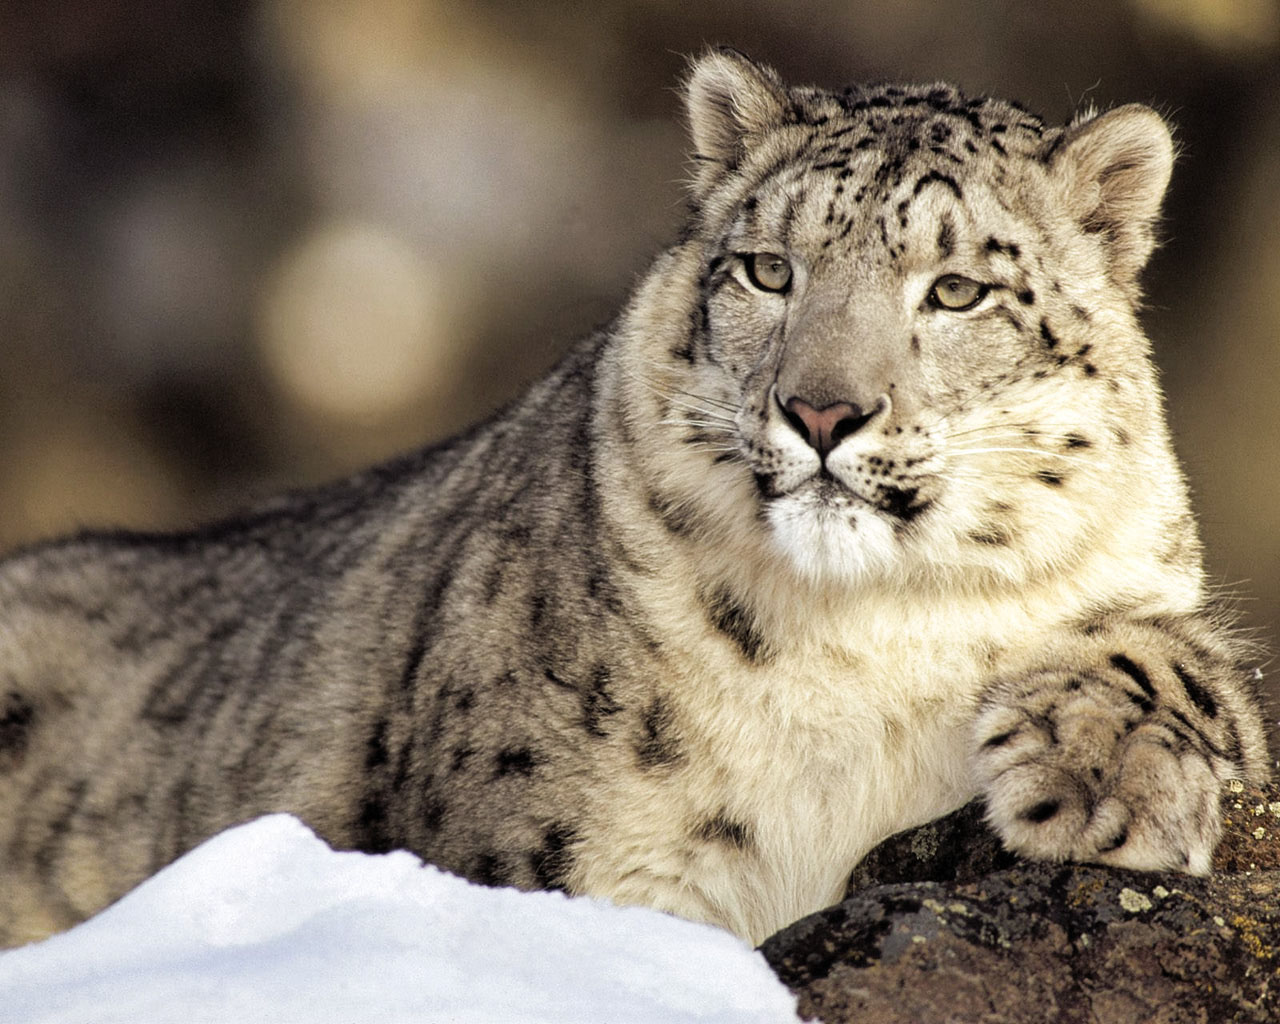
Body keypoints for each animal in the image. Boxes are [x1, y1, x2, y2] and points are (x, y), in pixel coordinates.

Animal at [0, 49, 1268, 948]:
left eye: (956, 290)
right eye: (767, 269)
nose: (820, 412)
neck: (869, 635)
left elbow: (1180, 658)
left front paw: (1096, 781)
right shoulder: (570, 865)